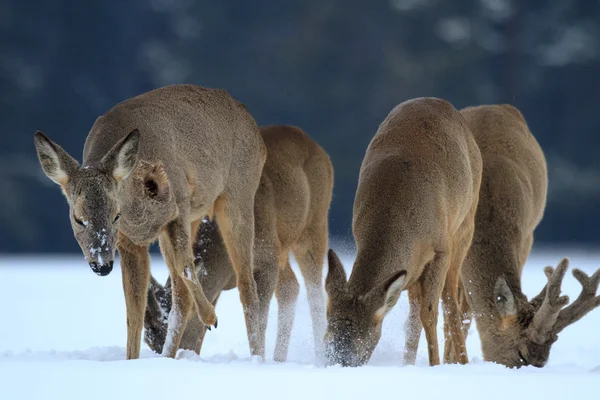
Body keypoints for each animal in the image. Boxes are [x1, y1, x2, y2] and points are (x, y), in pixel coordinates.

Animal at [33, 84, 268, 360]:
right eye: (78, 219)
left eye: (115, 215)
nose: (101, 265)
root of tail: (250, 121)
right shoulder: (129, 241)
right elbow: (133, 312)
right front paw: (131, 360)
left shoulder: (178, 208)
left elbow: (187, 268)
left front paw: (211, 317)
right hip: (196, 215)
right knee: (181, 294)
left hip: (237, 194)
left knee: (245, 286)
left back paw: (256, 356)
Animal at [144, 126, 336, 362]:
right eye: (148, 340)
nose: (174, 354)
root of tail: (316, 146)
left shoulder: (267, 254)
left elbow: (259, 318)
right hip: (283, 246)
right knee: (291, 286)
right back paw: (279, 358)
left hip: (314, 225)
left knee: (315, 293)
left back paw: (320, 358)